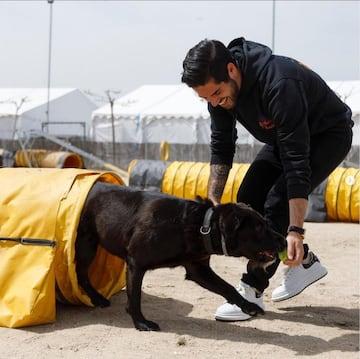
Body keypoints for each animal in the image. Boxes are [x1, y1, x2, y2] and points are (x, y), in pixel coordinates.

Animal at [74, 183, 286, 332]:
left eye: (266, 222)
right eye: (258, 227)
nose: (284, 241)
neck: (199, 225)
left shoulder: (198, 269)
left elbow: (228, 288)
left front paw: (248, 306)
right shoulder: (136, 263)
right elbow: (135, 296)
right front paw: (141, 323)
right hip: (86, 245)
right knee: (81, 274)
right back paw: (98, 298)